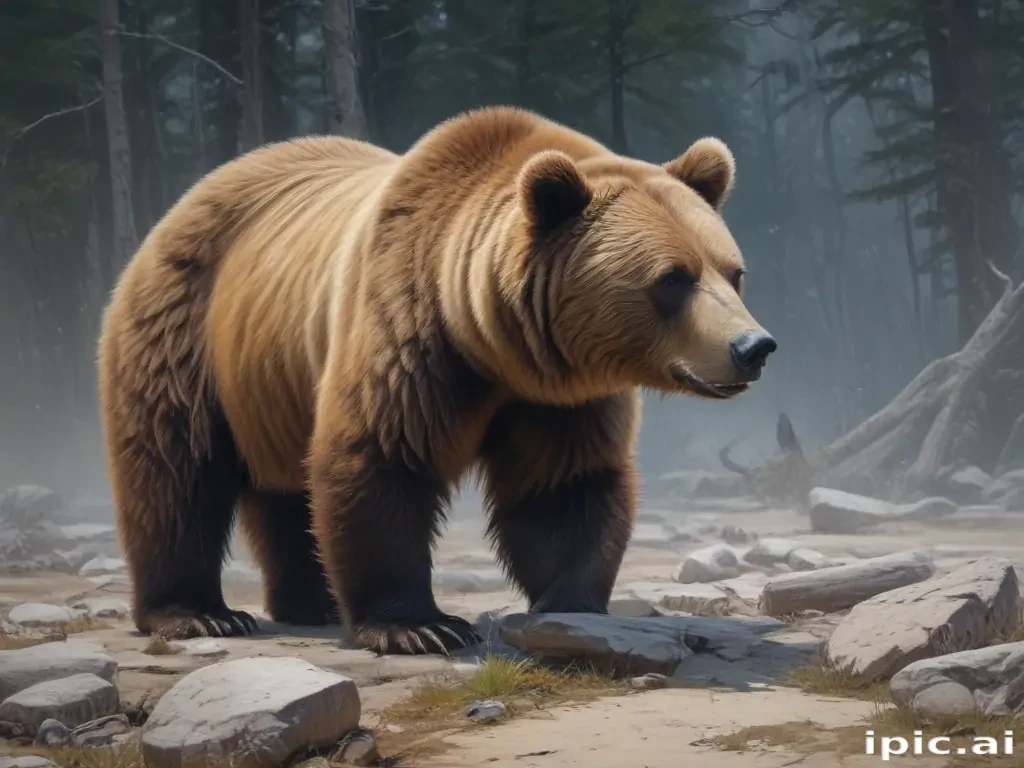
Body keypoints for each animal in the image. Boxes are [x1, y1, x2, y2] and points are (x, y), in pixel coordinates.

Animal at [97, 106, 776, 656]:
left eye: (732, 272)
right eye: (672, 279)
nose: (753, 348)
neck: (492, 343)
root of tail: (185, 201)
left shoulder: (558, 397)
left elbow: (564, 485)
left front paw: (570, 602)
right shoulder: (409, 336)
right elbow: (380, 457)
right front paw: (420, 626)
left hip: (270, 382)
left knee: (285, 491)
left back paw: (310, 603)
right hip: (186, 332)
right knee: (175, 469)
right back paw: (198, 614)